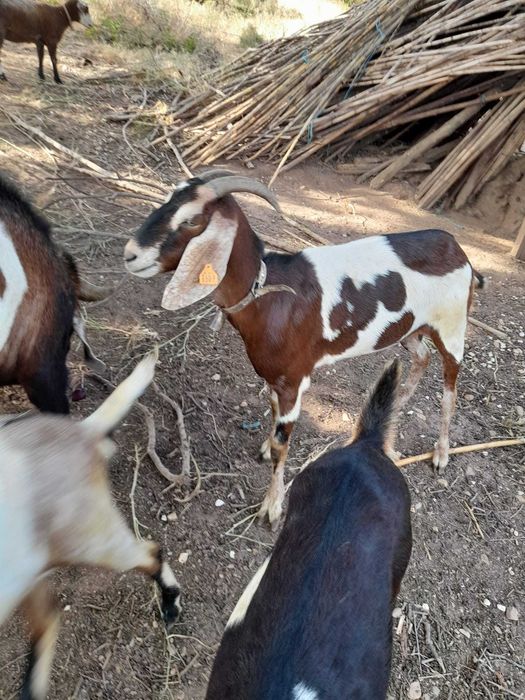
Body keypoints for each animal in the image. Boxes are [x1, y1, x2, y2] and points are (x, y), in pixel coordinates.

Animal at [0, 351, 181, 700]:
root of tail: (82, 432)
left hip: (91, 541)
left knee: (151, 552)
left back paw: (171, 602)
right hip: (32, 571)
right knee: (49, 619)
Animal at [123, 171, 484, 527]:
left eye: (192, 220)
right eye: (166, 201)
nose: (130, 254)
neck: (268, 293)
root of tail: (460, 253)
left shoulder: (294, 381)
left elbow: (282, 445)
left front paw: (271, 506)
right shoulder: (275, 378)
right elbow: (271, 414)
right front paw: (264, 449)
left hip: (452, 326)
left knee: (450, 386)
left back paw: (441, 453)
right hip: (409, 329)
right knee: (422, 358)